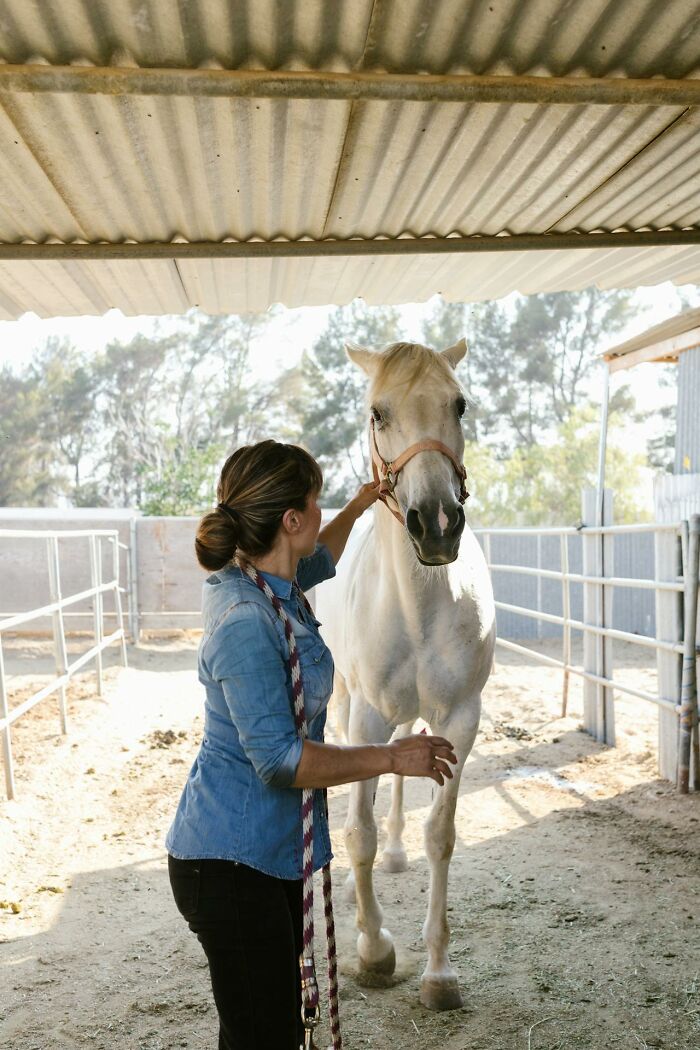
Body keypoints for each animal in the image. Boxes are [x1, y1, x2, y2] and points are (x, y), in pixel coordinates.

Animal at [314, 340, 495, 1012]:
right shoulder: (364, 715)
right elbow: (357, 831)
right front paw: (373, 949)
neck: (419, 605)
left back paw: (394, 853)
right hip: (346, 703)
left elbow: (440, 834)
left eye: (459, 404)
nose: (437, 521)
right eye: (378, 412)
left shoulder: (460, 720)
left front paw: (438, 971)